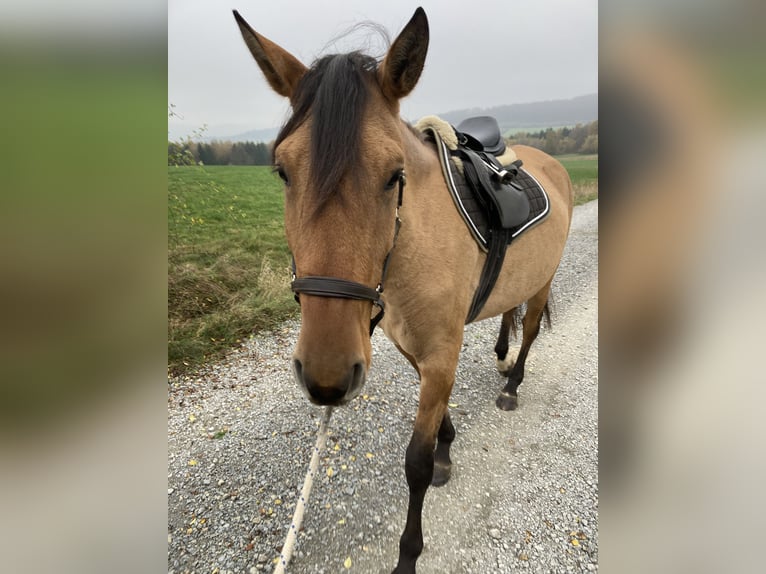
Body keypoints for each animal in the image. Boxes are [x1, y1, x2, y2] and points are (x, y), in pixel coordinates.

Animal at [234, 6, 576, 572]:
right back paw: (501, 353)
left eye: (395, 175)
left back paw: (511, 384)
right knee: (509, 314)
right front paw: (447, 448)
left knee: (529, 328)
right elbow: (439, 419)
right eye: (282, 171)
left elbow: (415, 463)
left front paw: (409, 553)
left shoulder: (440, 352)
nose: (326, 377)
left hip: (544, 280)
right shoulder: (416, 350)